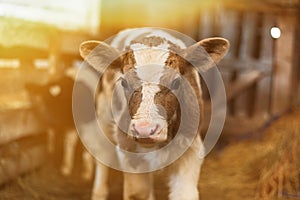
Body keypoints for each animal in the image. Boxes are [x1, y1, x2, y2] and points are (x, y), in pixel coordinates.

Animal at [79, 28, 230, 200]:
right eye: (123, 82)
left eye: (176, 82)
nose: (144, 130)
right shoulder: (127, 150)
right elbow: (138, 192)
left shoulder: (190, 150)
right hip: (103, 117)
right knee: (103, 154)